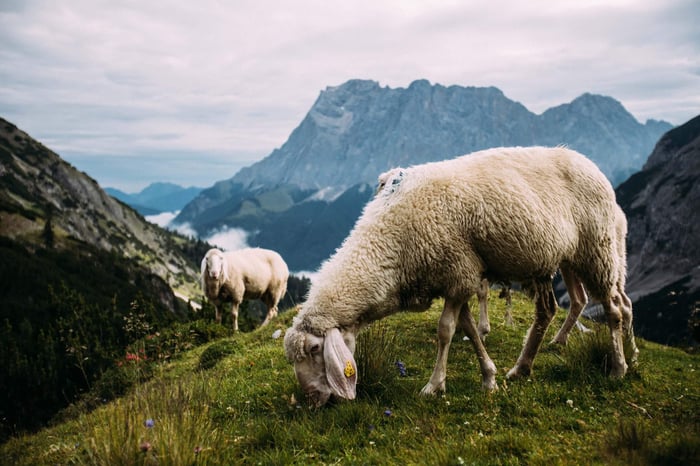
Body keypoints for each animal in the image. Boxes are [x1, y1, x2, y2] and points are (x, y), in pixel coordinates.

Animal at [284, 146, 637, 407]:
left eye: (315, 350)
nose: (312, 400)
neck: (391, 242)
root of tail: (591, 164)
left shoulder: (458, 273)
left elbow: (446, 331)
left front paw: (434, 385)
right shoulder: (459, 277)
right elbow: (467, 328)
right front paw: (489, 377)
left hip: (598, 249)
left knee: (614, 309)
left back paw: (619, 367)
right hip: (556, 258)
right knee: (551, 310)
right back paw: (521, 368)